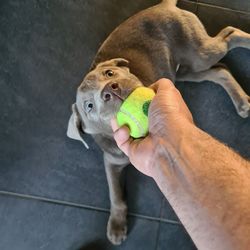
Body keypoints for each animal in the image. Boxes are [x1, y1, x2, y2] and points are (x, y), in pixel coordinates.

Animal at [66, 0, 250, 245]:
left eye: (110, 73)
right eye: (89, 106)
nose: (110, 89)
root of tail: (163, 5)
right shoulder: (112, 161)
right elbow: (115, 193)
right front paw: (116, 226)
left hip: (198, 51)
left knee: (230, 34)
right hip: (185, 71)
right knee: (220, 71)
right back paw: (241, 102)